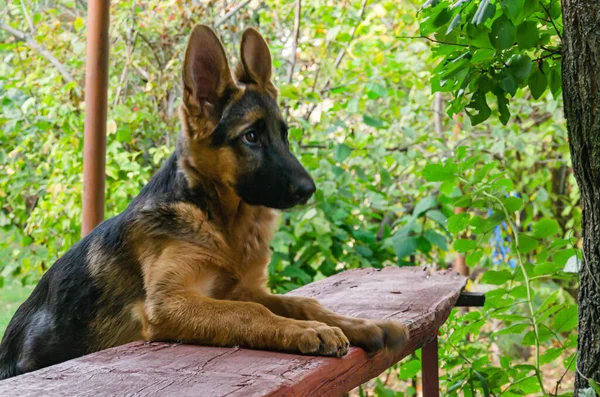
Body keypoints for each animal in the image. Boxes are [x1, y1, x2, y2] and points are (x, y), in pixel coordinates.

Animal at [0, 24, 408, 378]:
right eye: (251, 136)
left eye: (284, 134)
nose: (308, 190)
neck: (218, 221)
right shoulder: (170, 302)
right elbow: (251, 313)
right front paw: (309, 330)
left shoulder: (241, 288)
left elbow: (302, 303)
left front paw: (357, 323)